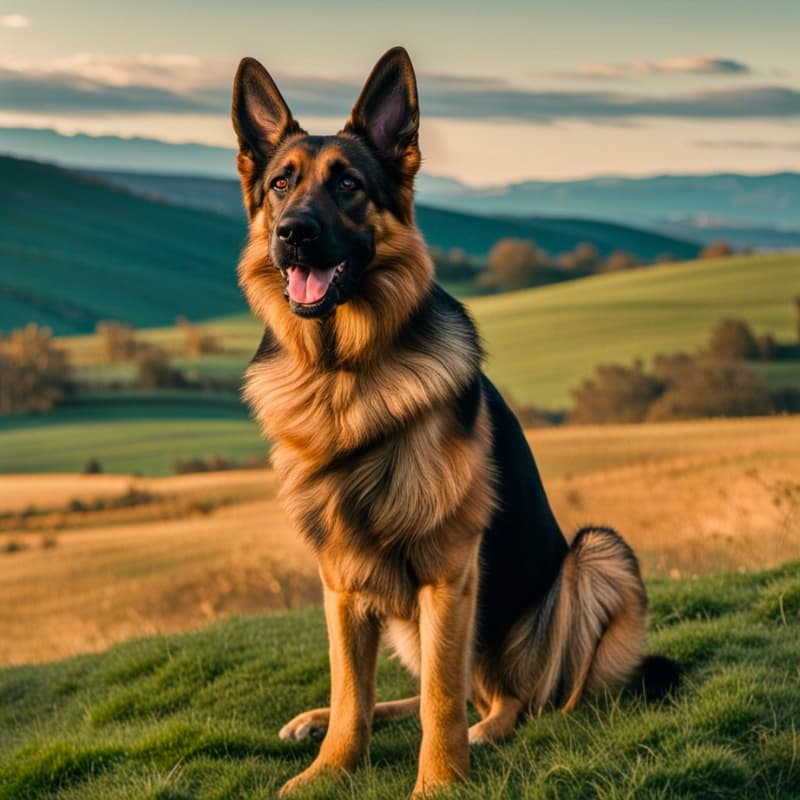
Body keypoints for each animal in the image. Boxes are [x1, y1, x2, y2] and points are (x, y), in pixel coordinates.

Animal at [233, 47, 676, 796]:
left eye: (348, 184)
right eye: (280, 185)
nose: (293, 233)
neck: (344, 377)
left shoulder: (448, 569)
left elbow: (441, 697)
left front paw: (440, 782)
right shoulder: (341, 577)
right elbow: (351, 689)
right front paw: (330, 768)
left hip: (595, 557)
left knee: (513, 698)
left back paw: (488, 729)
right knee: (439, 690)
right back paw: (319, 720)